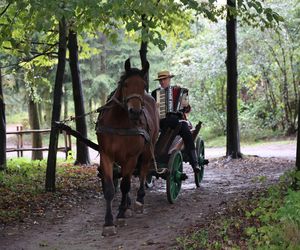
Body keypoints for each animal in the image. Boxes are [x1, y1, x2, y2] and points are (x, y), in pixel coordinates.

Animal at [97, 58, 161, 236]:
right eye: (125, 84)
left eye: (143, 85)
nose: (135, 112)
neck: (118, 122)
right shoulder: (106, 155)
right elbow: (110, 189)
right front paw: (108, 223)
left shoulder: (131, 158)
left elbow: (125, 186)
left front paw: (120, 215)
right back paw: (127, 205)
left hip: (147, 150)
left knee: (144, 171)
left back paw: (138, 200)